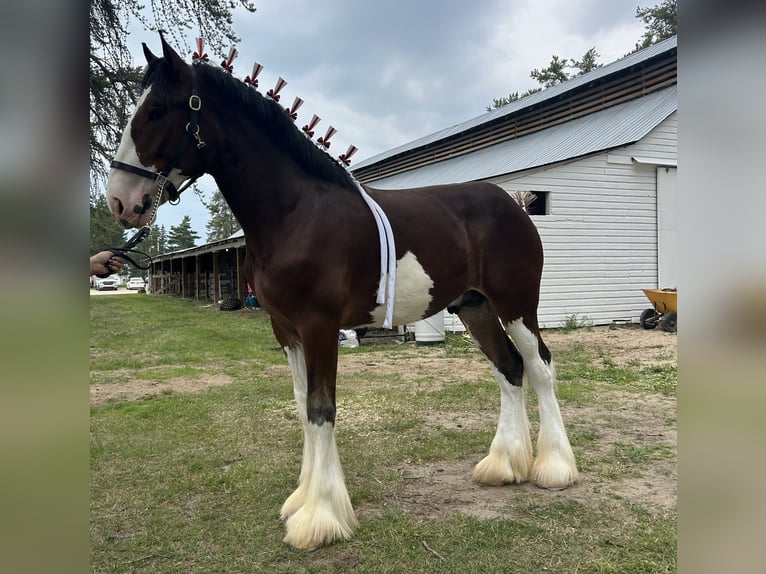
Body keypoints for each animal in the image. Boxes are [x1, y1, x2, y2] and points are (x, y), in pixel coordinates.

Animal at [105, 37, 580, 552]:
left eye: (156, 110)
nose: (119, 202)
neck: (295, 212)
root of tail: (514, 204)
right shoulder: (286, 330)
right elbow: (301, 406)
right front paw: (301, 500)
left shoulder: (319, 325)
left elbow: (321, 408)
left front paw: (320, 517)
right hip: (475, 308)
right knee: (509, 369)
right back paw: (503, 465)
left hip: (516, 306)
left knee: (539, 367)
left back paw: (555, 468)